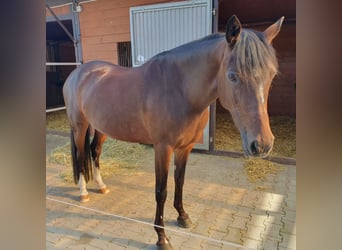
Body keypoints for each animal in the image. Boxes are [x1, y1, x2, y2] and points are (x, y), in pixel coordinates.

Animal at [62, 15, 284, 248]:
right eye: (232, 76)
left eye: (272, 75)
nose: (262, 144)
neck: (180, 89)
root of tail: (78, 73)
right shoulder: (163, 148)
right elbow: (161, 191)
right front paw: (162, 237)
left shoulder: (185, 148)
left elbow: (180, 181)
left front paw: (182, 216)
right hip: (79, 126)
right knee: (80, 155)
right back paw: (83, 192)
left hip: (101, 127)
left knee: (94, 152)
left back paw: (101, 185)